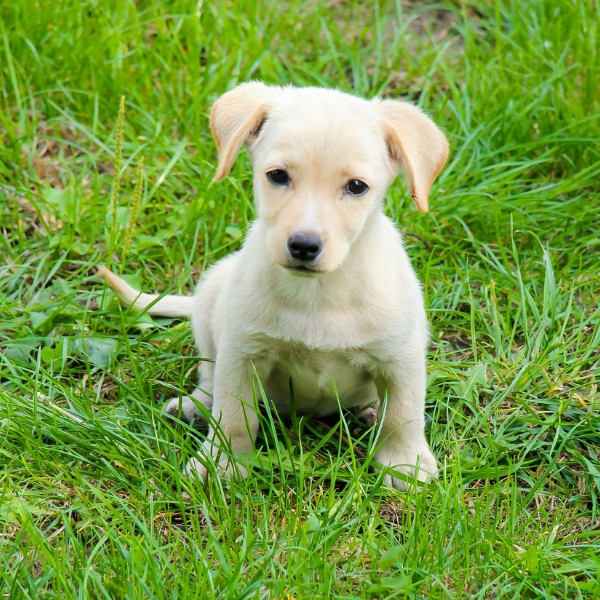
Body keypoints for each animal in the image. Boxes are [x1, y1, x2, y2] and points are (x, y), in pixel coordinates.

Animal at [101, 83, 448, 488]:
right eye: (278, 176)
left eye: (357, 186)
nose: (304, 245)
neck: (318, 293)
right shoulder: (242, 353)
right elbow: (233, 417)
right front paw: (220, 463)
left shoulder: (400, 357)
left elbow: (404, 416)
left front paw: (405, 465)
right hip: (211, 297)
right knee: (208, 376)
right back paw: (195, 407)